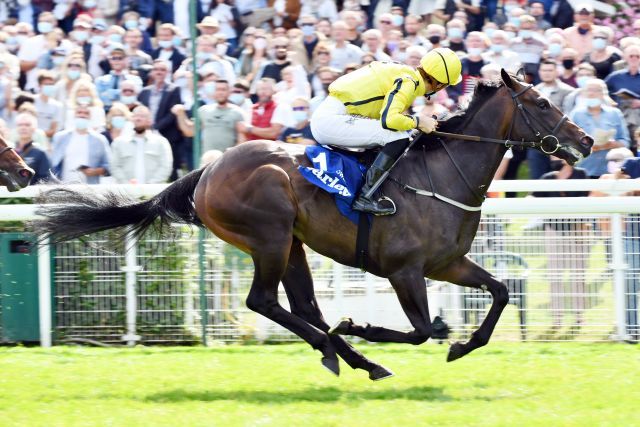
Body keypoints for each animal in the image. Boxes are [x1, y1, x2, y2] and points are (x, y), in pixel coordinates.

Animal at [35, 71, 592, 382]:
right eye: (543, 103)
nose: (585, 140)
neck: (444, 173)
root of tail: (207, 171)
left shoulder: (448, 263)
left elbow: (499, 292)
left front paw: (462, 346)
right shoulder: (404, 270)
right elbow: (421, 330)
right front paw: (366, 326)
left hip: (293, 244)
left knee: (303, 306)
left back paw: (355, 358)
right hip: (270, 235)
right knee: (264, 302)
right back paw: (343, 348)